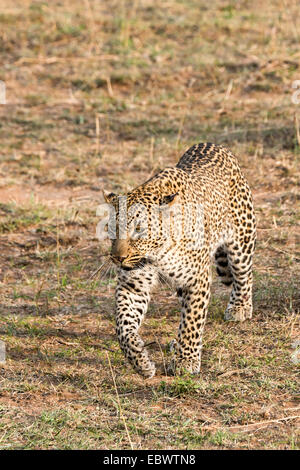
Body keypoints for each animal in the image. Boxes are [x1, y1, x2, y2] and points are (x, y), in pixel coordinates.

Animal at [102, 142, 255, 378]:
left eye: (138, 230)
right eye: (113, 228)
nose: (118, 258)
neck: (157, 254)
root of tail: (214, 144)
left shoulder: (197, 280)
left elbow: (192, 321)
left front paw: (186, 361)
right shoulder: (133, 284)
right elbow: (123, 325)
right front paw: (140, 360)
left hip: (242, 239)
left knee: (244, 275)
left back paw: (239, 307)